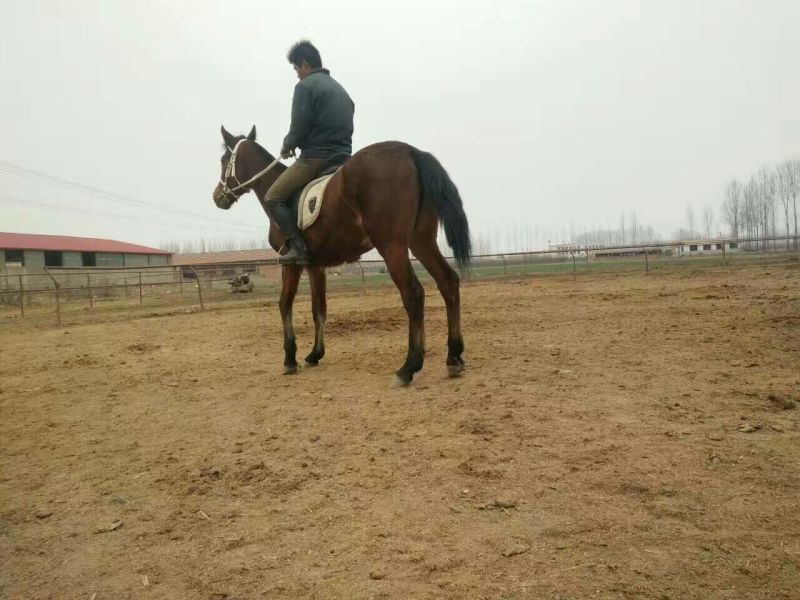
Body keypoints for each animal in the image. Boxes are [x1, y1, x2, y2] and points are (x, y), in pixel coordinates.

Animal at [212, 125, 471, 386]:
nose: (217, 197)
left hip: (392, 246)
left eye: (224, 160)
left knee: (413, 293)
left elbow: (285, 303)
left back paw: (408, 367)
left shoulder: (291, 264)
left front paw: (290, 359)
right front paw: (314, 355)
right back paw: (454, 357)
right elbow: (319, 308)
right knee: (448, 281)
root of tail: (410, 151)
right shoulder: (315, 266)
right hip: (421, 243)